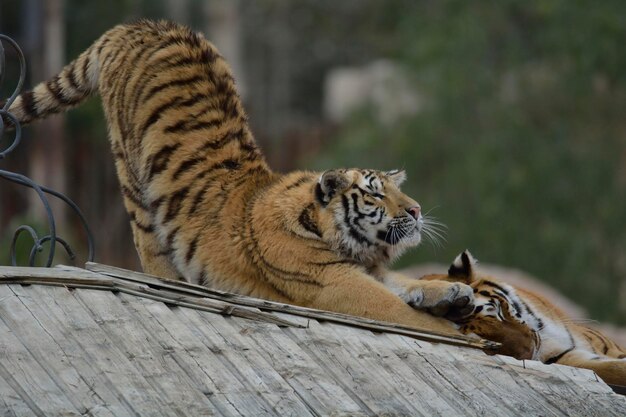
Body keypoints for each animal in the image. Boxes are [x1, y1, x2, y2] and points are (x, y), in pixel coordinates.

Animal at [1, 20, 472, 334]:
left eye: (398, 190)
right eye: (376, 195)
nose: (417, 210)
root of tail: (140, 24)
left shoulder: (368, 271)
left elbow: (406, 282)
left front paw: (454, 294)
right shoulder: (337, 285)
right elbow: (405, 314)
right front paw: (461, 328)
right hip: (131, 173)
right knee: (149, 243)